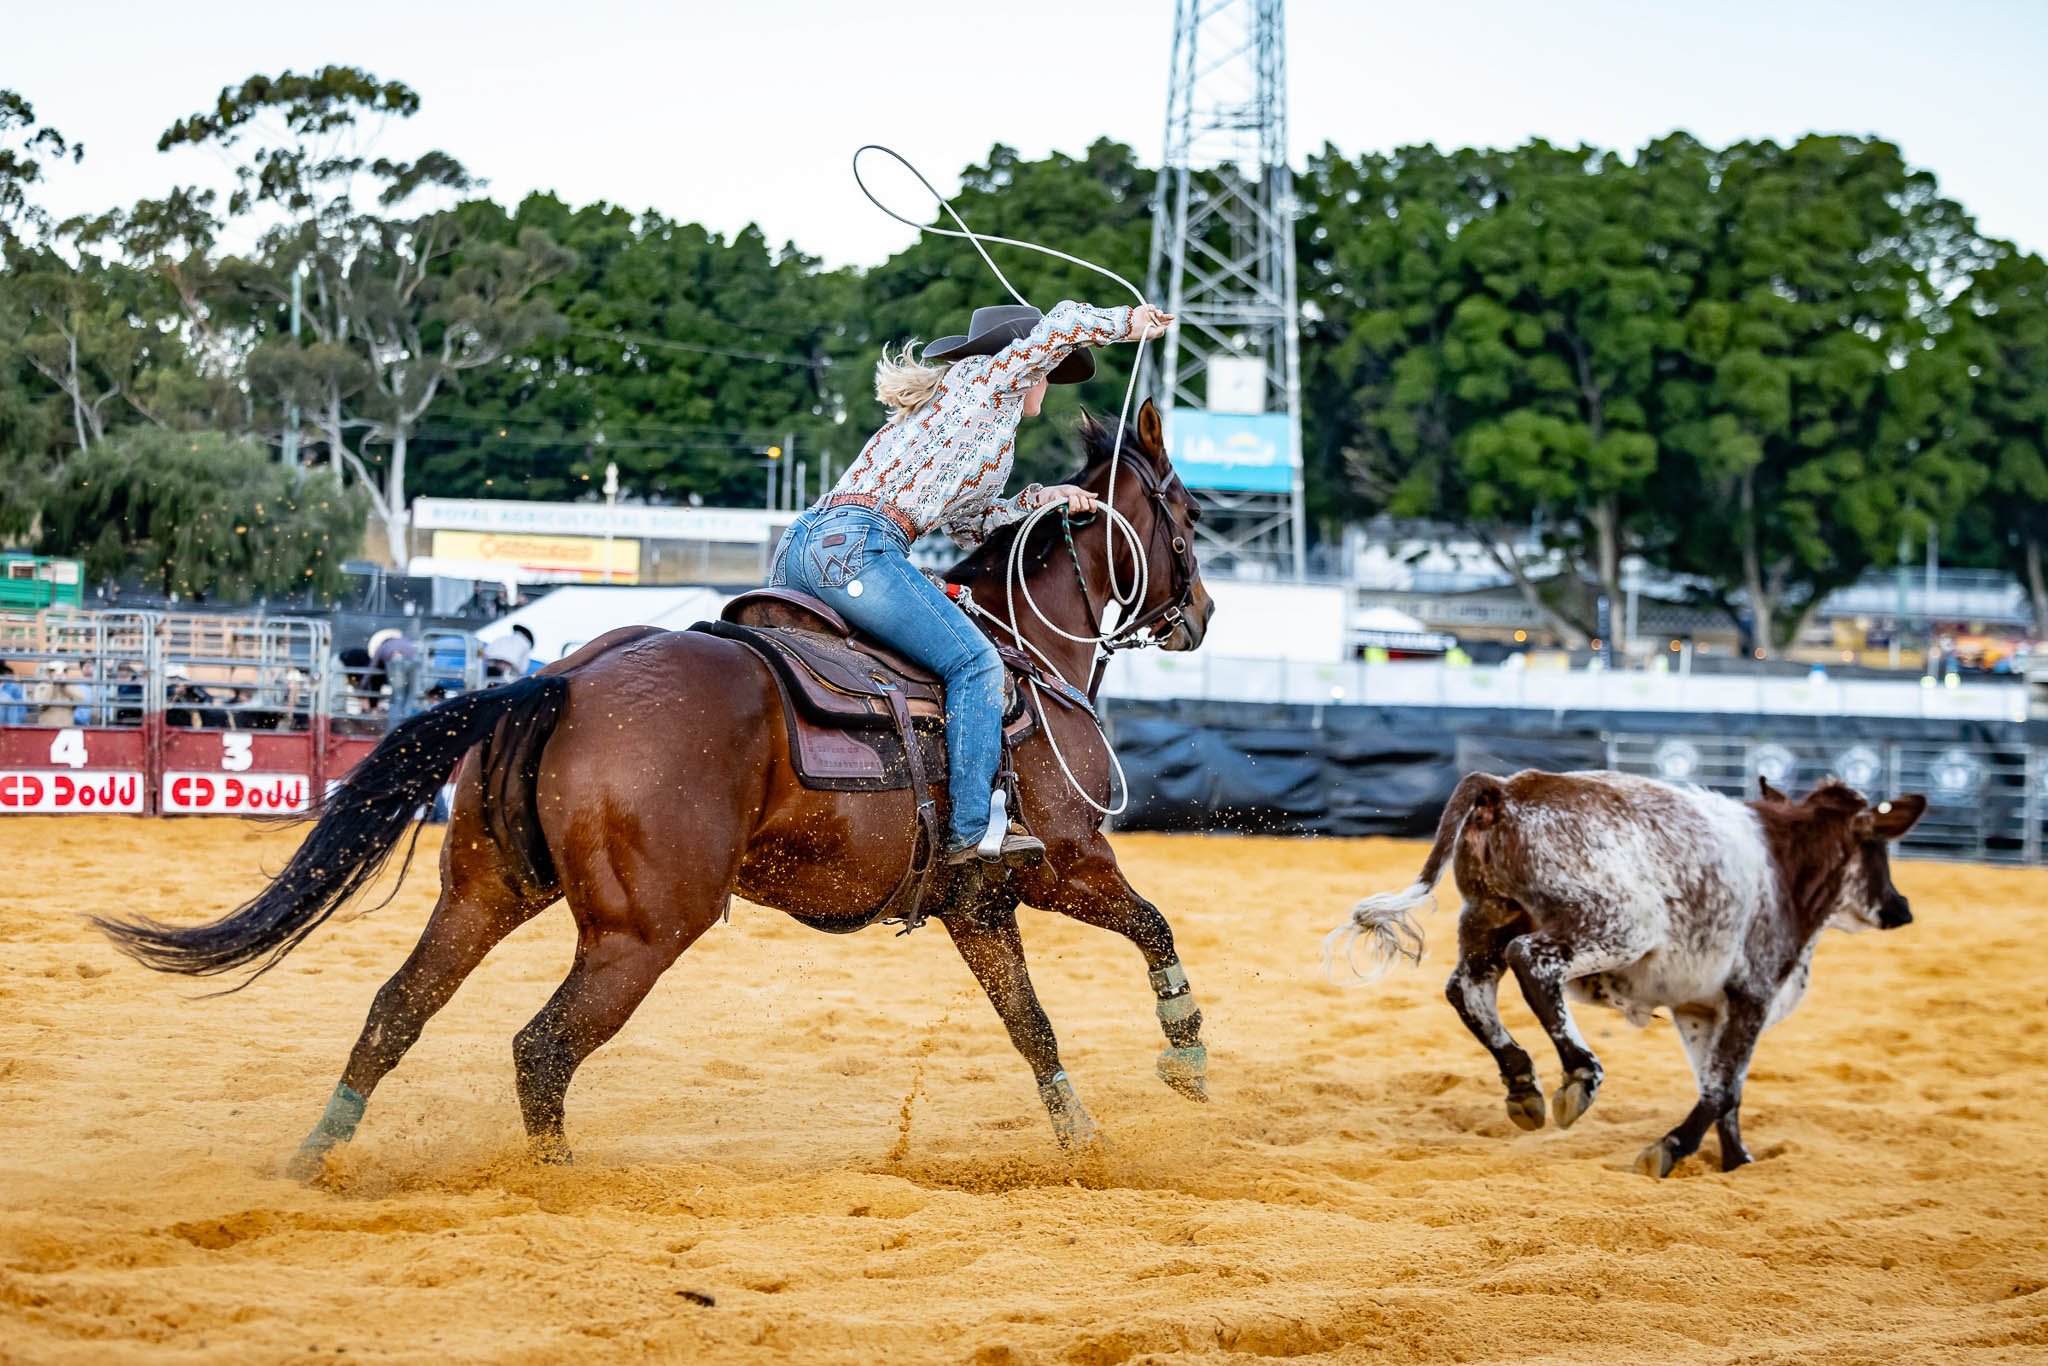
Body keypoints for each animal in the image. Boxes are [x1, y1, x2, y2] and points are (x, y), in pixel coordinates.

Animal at [96, 397, 1212, 1179]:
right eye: (1190, 515)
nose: (1198, 613)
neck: (1023, 653)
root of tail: (565, 676)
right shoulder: (1065, 863)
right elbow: (1152, 924)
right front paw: (1185, 1051)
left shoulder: (977, 904)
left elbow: (1030, 1025)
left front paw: (1083, 1143)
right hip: (643, 930)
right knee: (542, 1049)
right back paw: (559, 1180)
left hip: (484, 892)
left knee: (395, 1011)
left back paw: (314, 1160)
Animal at [1327, 770, 1916, 1179]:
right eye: (1878, 845)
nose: (1901, 908)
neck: (1785, 863)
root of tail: (1506, 789)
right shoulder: (1753, 992)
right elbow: (1723, 1088)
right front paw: (1672, 1148)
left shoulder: (1699, 1009)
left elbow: (1723, 1088)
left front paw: (1737, 1162)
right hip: (1619, 925)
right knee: (1531, 961)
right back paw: (1579, 1076)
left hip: (1486, 916)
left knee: (1467, 988)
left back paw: (1522, 1083)